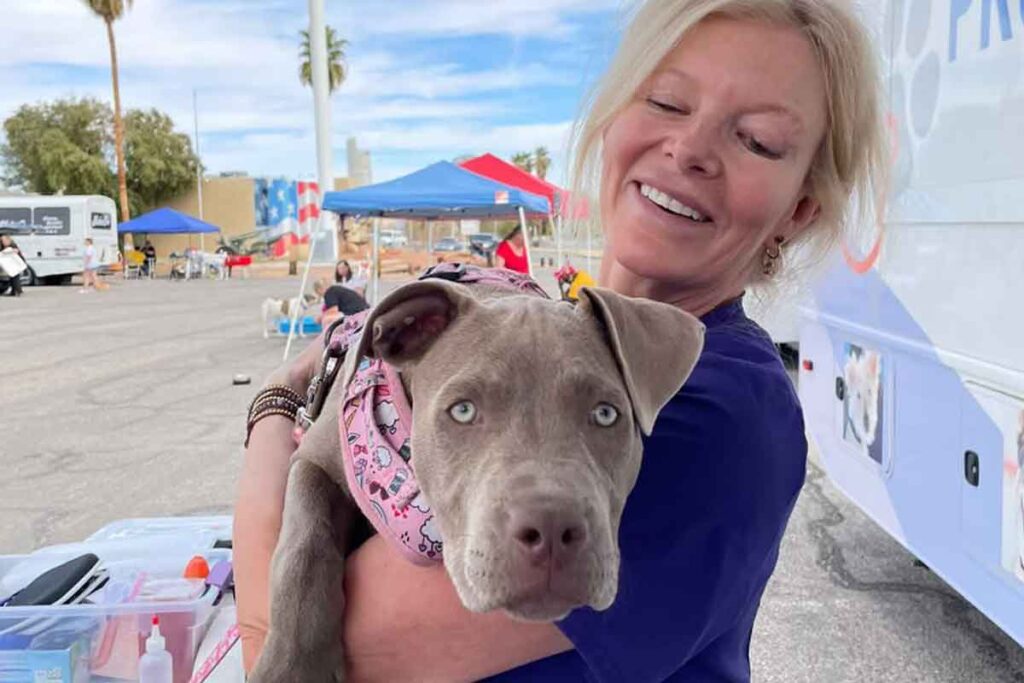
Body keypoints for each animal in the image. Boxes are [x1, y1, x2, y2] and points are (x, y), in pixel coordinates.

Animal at [251, 274, 708, 679]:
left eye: (606, 414)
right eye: (463, 410)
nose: (552, 529)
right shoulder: (312, 459)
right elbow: (304, 545)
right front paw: (292, 666)